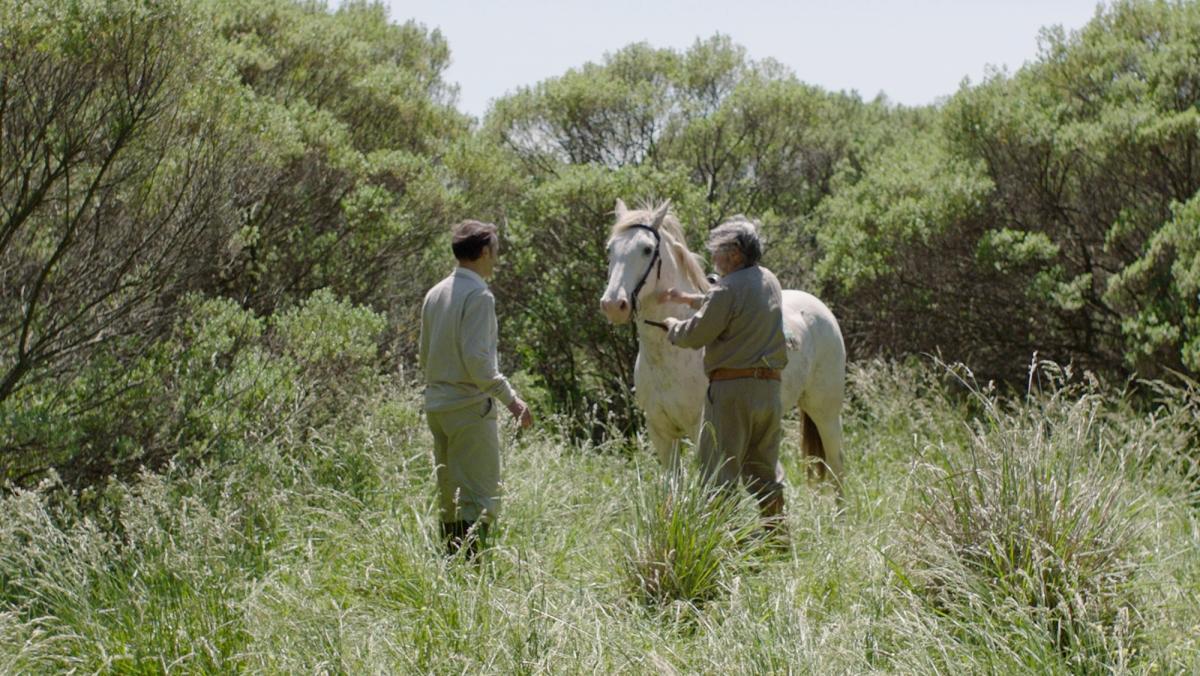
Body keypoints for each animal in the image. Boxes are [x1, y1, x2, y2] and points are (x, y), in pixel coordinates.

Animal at [597, 200, 844, 487]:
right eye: (610, 248)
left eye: (647, 249)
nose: (613, 305)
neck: (667, 358)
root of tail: (820, 309)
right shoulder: (662, 433)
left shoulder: (702, 430)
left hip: (826, 412)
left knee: (837, 464)